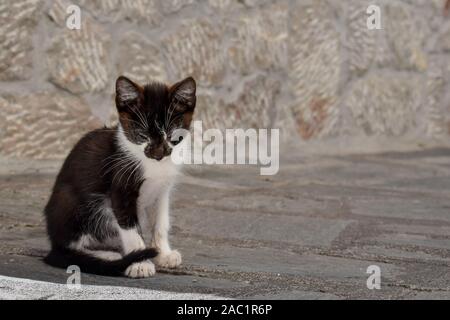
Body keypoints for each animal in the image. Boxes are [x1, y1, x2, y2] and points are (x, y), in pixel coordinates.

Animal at [43, 75, 196, 278]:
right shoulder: (120, 189)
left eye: (171, 134)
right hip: (74, 204)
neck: (154, 166)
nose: (158, 154)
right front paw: (140, 263)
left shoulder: (162, 191)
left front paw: (163, 254)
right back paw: (108, 256)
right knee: (71, 247)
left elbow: (161, 223)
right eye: (142, 135)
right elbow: (131, 229)